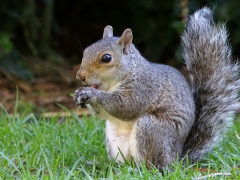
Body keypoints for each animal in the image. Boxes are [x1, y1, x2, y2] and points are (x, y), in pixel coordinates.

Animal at [73, 7, 240, 170]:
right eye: (86, 51)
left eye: (106, 58)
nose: (80, 76)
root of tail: (177, 160)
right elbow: (105, 114)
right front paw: (80, 94)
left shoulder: (144, 87)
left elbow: (126, 106)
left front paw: (92, 94)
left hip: (152, 130)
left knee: (153, 166)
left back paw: (140, 169)